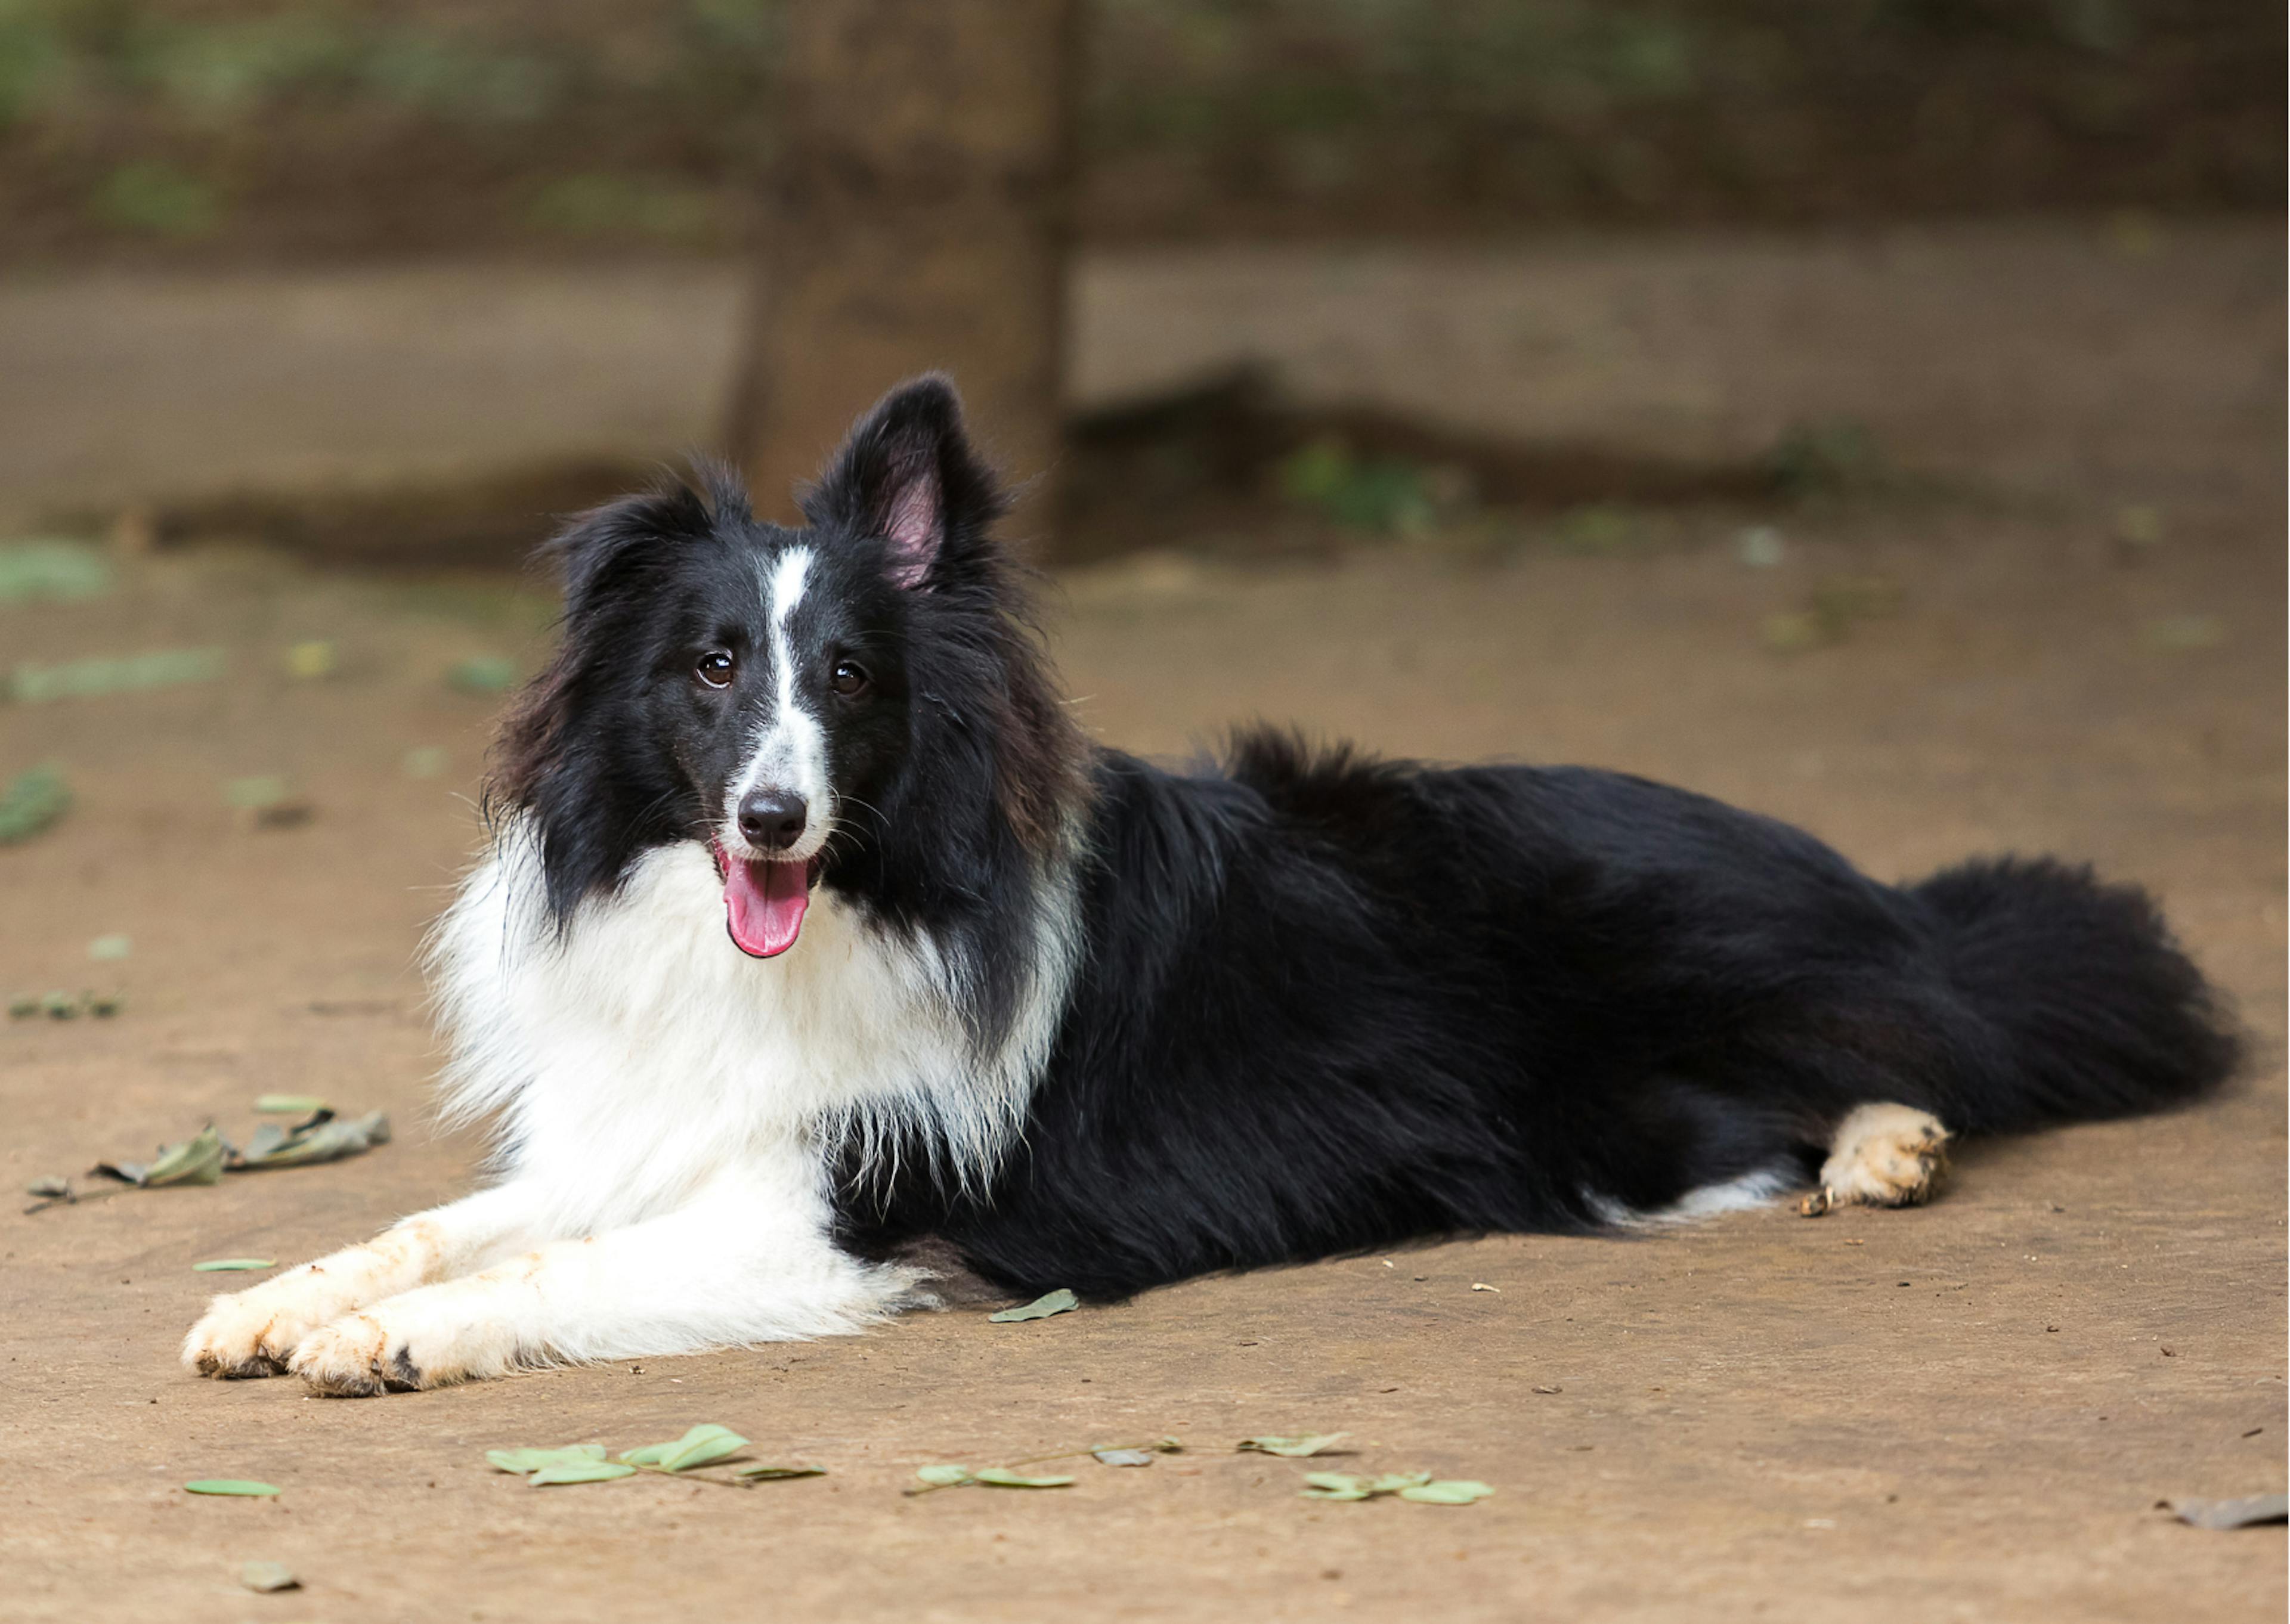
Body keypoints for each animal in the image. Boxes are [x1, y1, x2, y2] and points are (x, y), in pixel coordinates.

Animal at [183, 373, 2235, 1383]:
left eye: (847, 679)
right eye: (705, 665)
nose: (769, 818)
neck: (824, 915)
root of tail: (1871, 882)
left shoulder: (858, 1209)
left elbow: (573, 1269)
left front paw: (382, 1341)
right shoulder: (651, 1131)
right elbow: (458, 1218)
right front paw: (285, 1296)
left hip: (1655, 1008)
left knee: (1939, 1037)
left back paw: (1889, 1141)